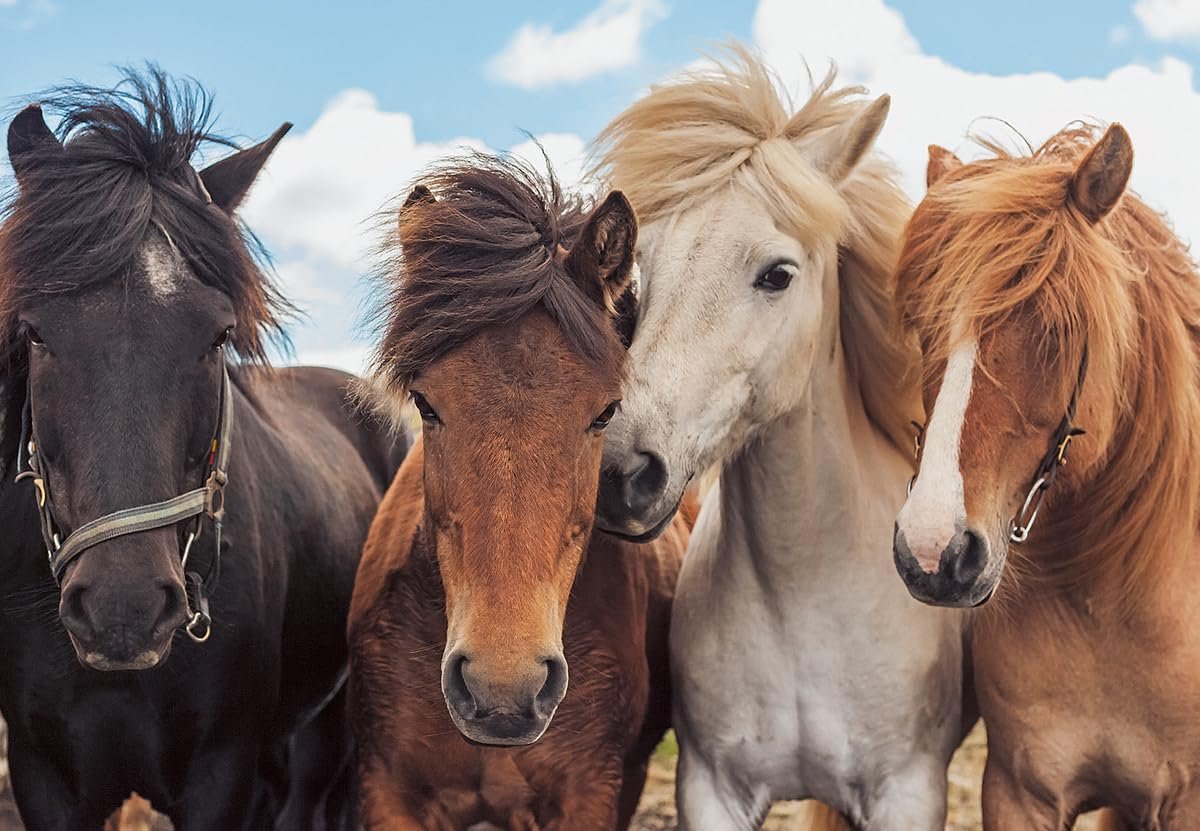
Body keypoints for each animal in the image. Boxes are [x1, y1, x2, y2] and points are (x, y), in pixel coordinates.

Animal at [589, 47, 975, 830]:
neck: (803, 600)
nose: (621, 476)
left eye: (777, 274)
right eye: (641, 275)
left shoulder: (909, 792)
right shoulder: (710, 789)